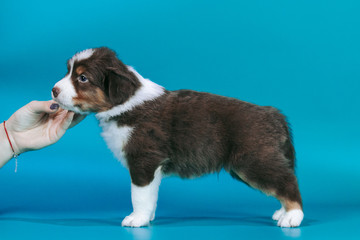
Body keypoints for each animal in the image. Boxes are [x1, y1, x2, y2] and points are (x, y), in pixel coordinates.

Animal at [50, 47, 304, 229]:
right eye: (68, 71)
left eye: (83, 78)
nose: (53, 90)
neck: (125, 103)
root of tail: (273, 114)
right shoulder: (153, 167)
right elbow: (150, 195)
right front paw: (148, 217)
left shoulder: (144, 159)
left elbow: (138, 194)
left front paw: (136, 219)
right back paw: (282, 212)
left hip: (253, 162)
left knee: (287, 181)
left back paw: (292, 216)